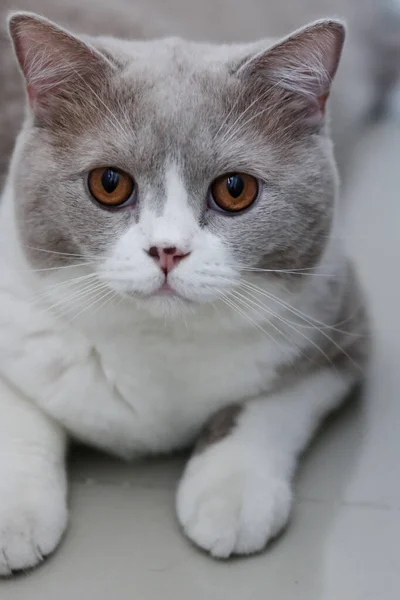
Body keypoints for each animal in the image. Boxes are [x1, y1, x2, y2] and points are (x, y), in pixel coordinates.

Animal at [0, 8, 372, 572]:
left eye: (235, 189)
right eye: (109, 183)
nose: (168, 250)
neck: (158, 340)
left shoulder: (339, 322)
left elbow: (270, 403)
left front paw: (232, 494)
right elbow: (17, 413)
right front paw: (14, 517)